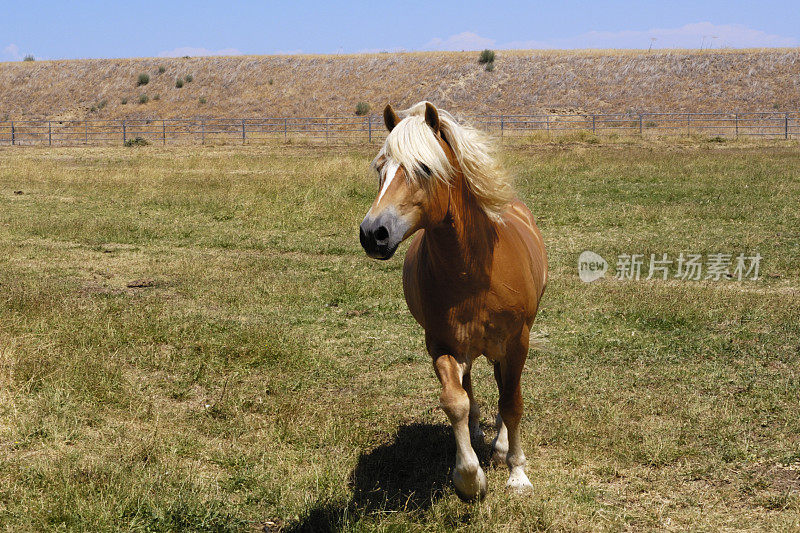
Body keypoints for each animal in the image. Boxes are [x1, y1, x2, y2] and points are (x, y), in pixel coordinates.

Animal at [360, 102, 548, 500]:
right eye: (380, 168)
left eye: (425, 167)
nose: (373, 233)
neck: (472, 272)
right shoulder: (441, 344)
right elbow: (455, 401)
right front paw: (468, 478)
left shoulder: (516, 342)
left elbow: (512, 403)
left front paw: (517, 473)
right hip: (468, 347)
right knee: (471, 385)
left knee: (503, 387)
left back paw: (502, 446)